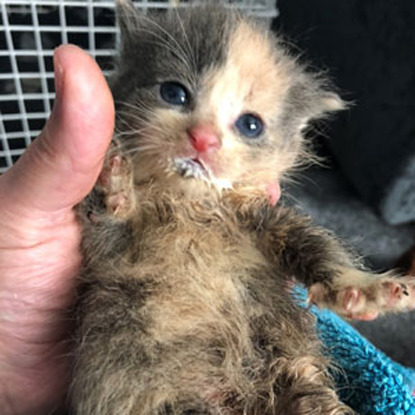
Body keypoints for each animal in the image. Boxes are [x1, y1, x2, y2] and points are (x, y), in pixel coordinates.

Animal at [73, 1, 415, 414]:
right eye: (174, 93)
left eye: (250, 125)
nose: (203, 139)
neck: (191, 205)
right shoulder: (112, 259)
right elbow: (109, 227)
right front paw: (114, 186)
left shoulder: (264, 220)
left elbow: (318, 249)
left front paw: (363, 289)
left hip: (296, 373)